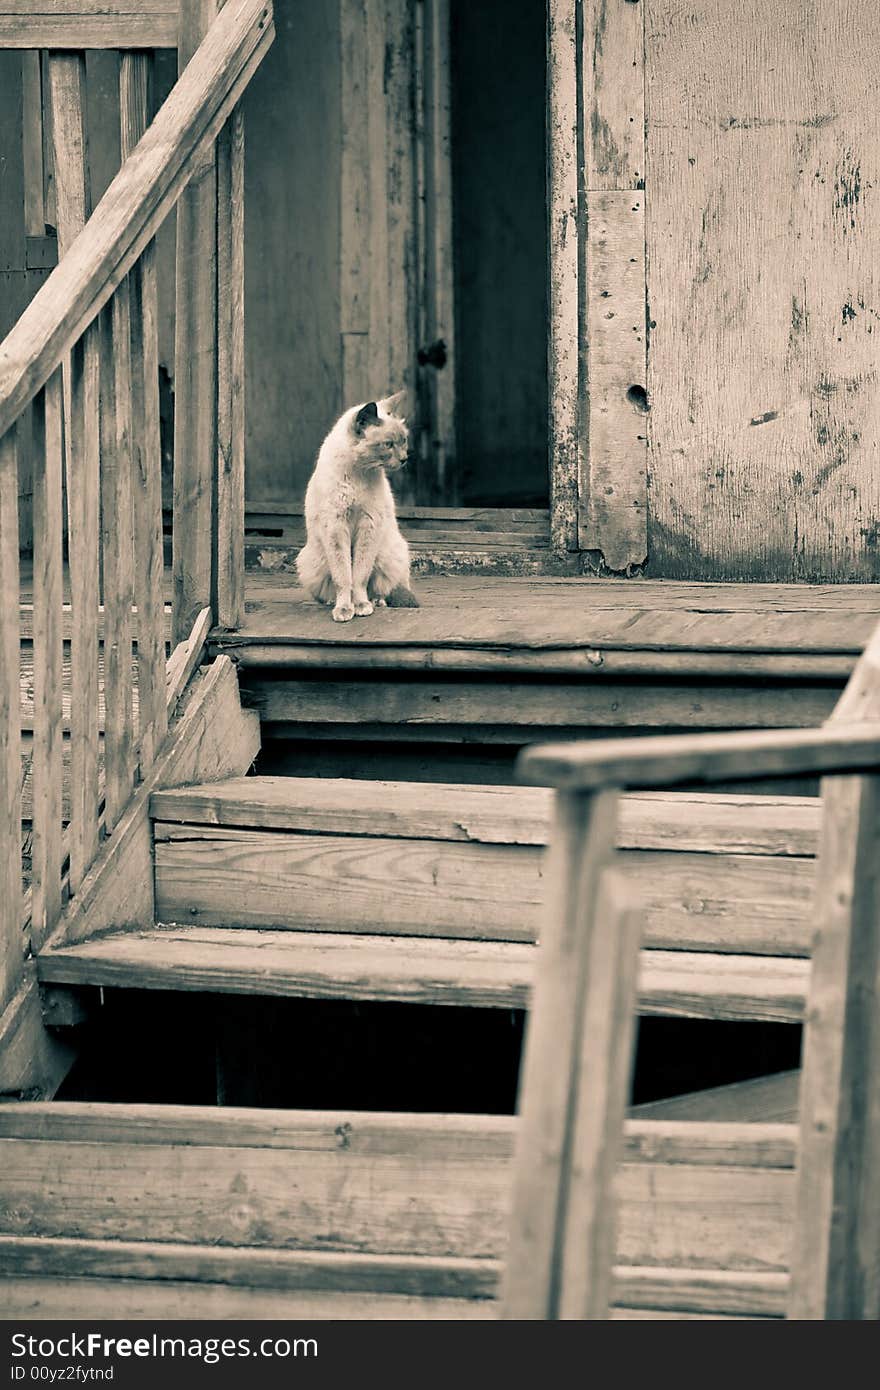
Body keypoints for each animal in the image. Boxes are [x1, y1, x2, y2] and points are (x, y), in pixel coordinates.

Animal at [294, 394, 419, 628]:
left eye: (404, 441)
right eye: (388, 444)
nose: (404, 459)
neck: (359, 472)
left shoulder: (368, 525)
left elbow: (359, 576)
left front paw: (361, 606)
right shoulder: (336, 527)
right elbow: (344, 576)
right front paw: (344, 610)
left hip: (390, 554)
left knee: (385, 587)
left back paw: (375, 602)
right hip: (312, 560)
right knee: (330, 588)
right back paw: (333, 603)